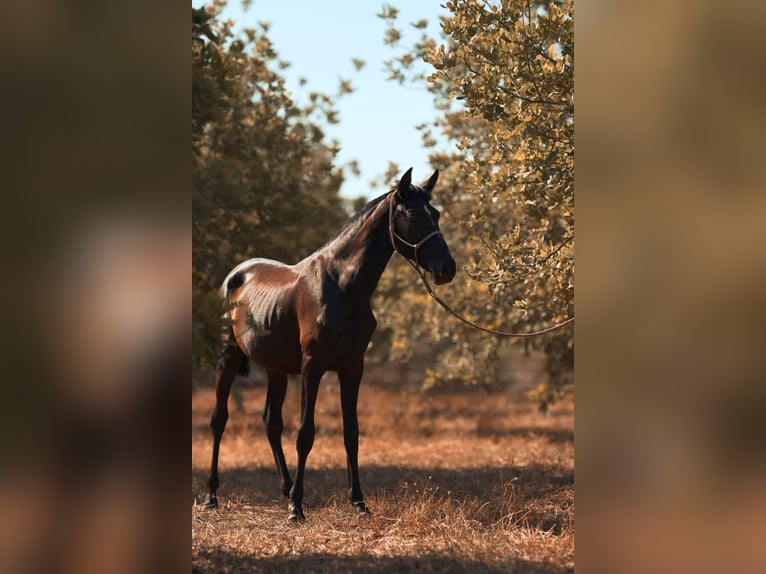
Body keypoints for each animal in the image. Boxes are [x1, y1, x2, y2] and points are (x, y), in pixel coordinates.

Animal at [204, 167, 456, 521]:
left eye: (435, 213)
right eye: (410, 214)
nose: (447, 269)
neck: (341, 287)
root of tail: (234, 276)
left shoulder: (352, 368)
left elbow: (351, 433)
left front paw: (359, 501)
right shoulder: (313, 367)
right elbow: (305, 434)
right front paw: (297, 508)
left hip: (275, 368)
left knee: (271, 422)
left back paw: (285, 489)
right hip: (227, 357)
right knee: (219, 419)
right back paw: (212, 495)